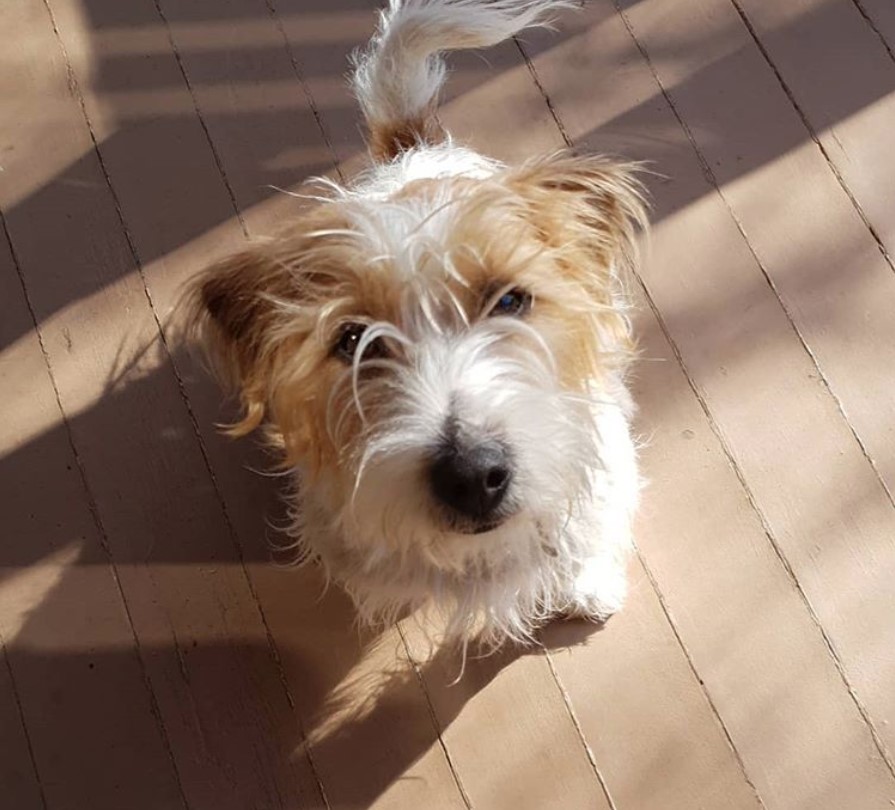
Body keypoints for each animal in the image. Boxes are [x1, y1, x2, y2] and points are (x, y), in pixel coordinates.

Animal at [189, 0, 648, 644]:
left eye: (510, 301)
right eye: (353, 339)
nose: (473, 475)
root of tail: (411, 150)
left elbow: (588, 528)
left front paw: (587, 587)